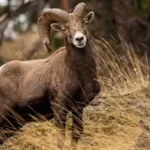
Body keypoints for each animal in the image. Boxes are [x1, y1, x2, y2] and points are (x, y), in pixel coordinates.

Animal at [0, 2, 100, 150]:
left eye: (84, 23)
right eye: (65, 28)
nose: (79, 39)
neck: (80, 74)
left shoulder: (78, 107)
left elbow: (76, 134)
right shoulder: (59, 107)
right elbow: (61, 137)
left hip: (13, 124)